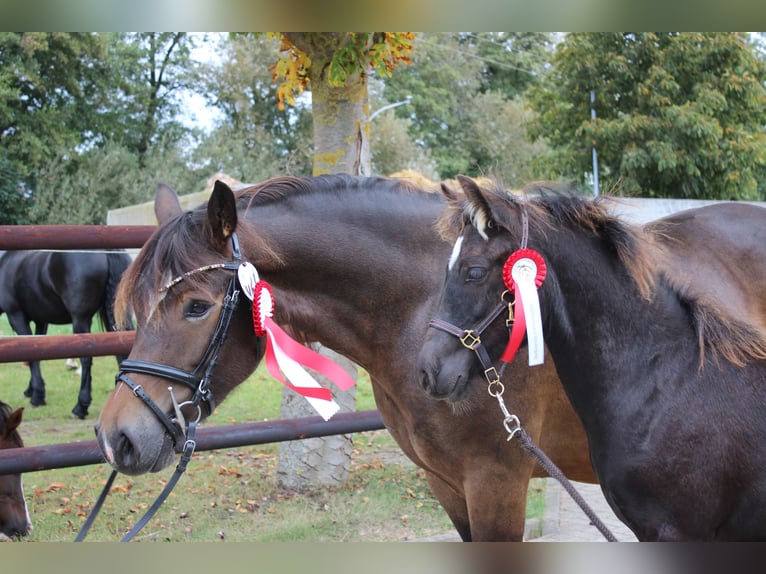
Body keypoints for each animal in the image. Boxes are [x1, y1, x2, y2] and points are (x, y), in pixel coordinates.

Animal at [0, 249, 134, 418]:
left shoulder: (16, 317)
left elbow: (30, 357)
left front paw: (37, 396)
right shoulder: (41, 321)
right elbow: (36, 354)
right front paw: (31, 390)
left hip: (80, 320)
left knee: (86, 359)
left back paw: (80, 407)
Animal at [96, 177, 596, 544]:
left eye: (197, 306)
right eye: (138, 306)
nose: (116, 436)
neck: (424, 311)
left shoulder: (497, 485)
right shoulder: (448, 484)